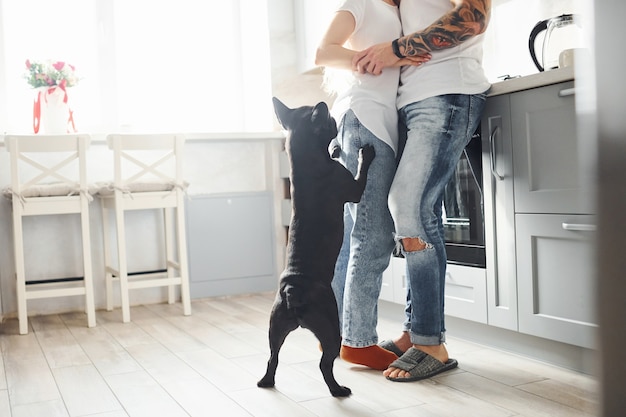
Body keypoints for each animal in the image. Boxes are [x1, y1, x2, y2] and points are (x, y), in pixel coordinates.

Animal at [256, 96, 372, 396]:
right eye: (330, 120)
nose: (334, 117)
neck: (304, 156)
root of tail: (293, 291)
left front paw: (335, 149)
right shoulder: (352, 188)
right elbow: (361, 173)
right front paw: (364, 154)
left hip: (275, 326)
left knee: (273, 356)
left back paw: (267, 381)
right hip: (330, 326)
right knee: (325, 363)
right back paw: (338, 390)